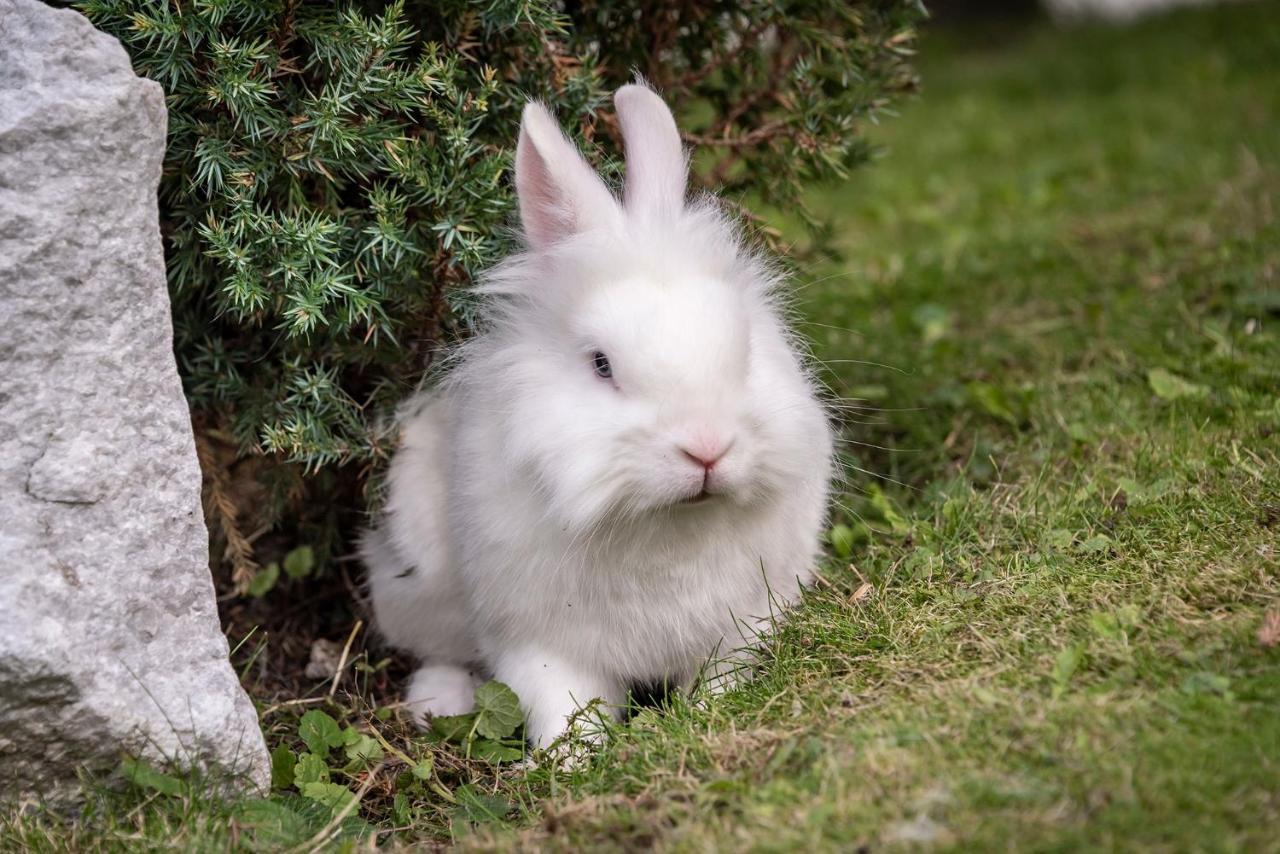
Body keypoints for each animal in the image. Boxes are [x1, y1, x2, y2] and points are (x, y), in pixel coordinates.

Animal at [366, 81, 834, 747]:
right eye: (601, 365)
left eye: (745, 350)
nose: (707, 447)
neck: (665, 524)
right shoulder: (538, 644)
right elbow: (563, 708)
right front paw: (573, 759)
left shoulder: (743, 625)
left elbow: (721, 683)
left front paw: (708, 720)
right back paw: (439, 701)